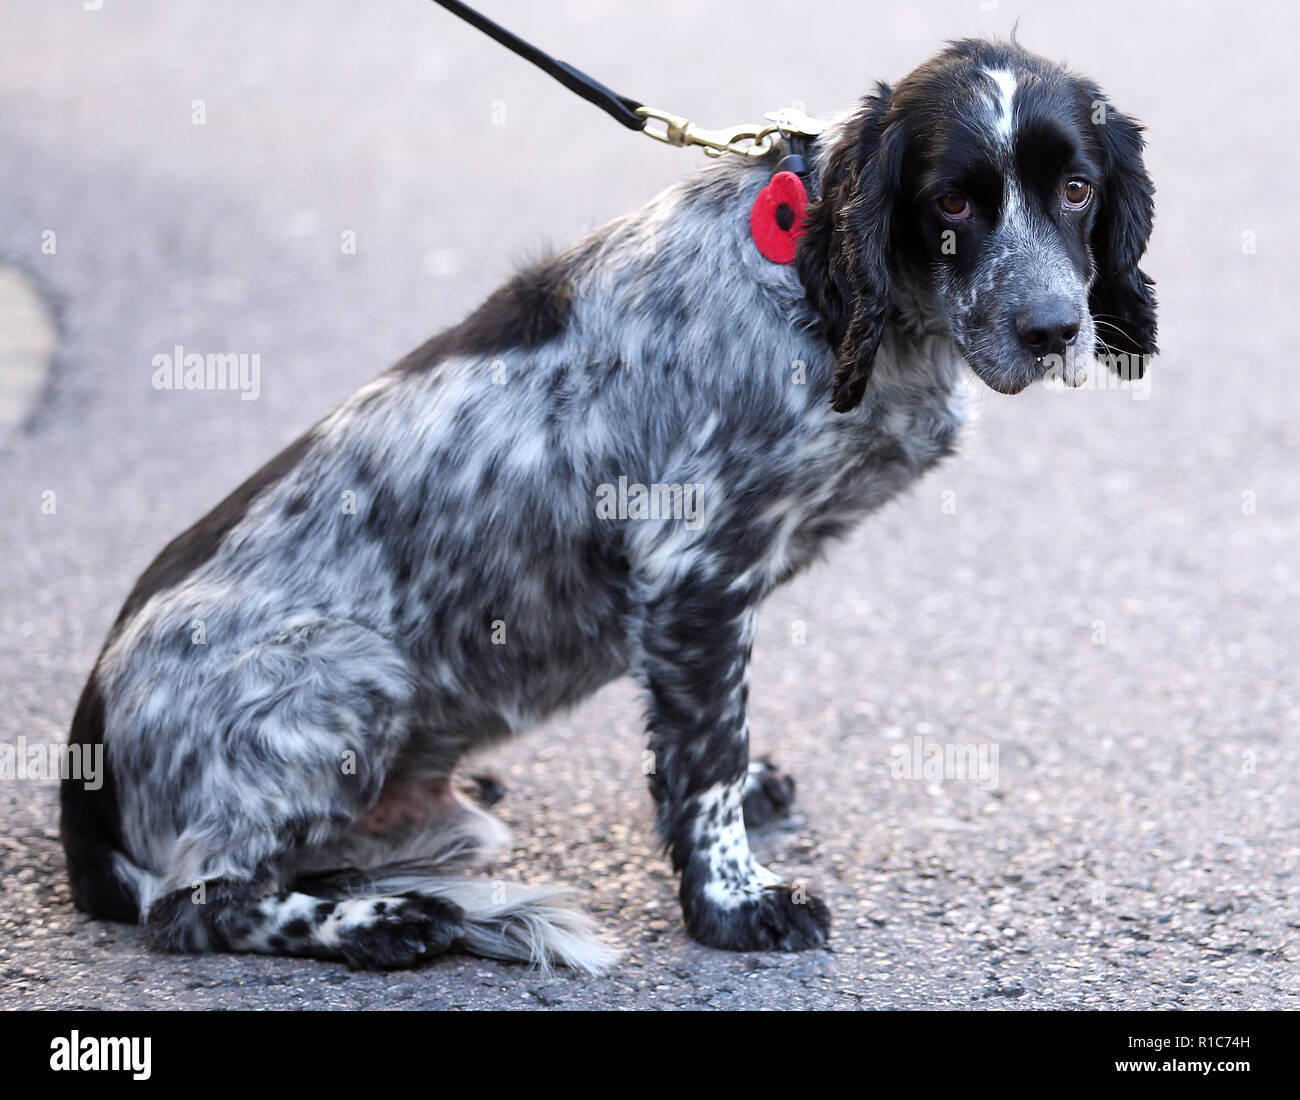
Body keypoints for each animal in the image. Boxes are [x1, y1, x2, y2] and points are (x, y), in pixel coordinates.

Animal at [61, 38, 1159, 972]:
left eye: (1075, 189)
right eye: (952, 204)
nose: (1054, 328)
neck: (829, 303)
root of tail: (86, 770)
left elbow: (707, 744)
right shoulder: (696, 572)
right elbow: (707, 753)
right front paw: (734, 904)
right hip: (349, 670)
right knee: (197, 903)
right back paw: (381, 921)